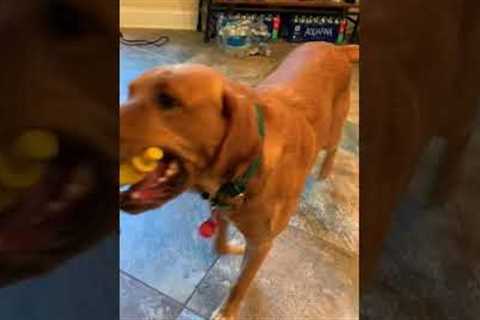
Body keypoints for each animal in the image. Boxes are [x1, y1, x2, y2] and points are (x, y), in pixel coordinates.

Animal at [120, 42, 360, 318]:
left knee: (335, 146)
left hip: (333, 130)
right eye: (130, 92)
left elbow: (240, 283)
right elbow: (219, 244)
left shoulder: (262, 243)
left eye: (167, 100)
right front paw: (233, 248)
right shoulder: (222, 209)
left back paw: (324, 172)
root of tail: (336, 47)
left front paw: (227, 311)